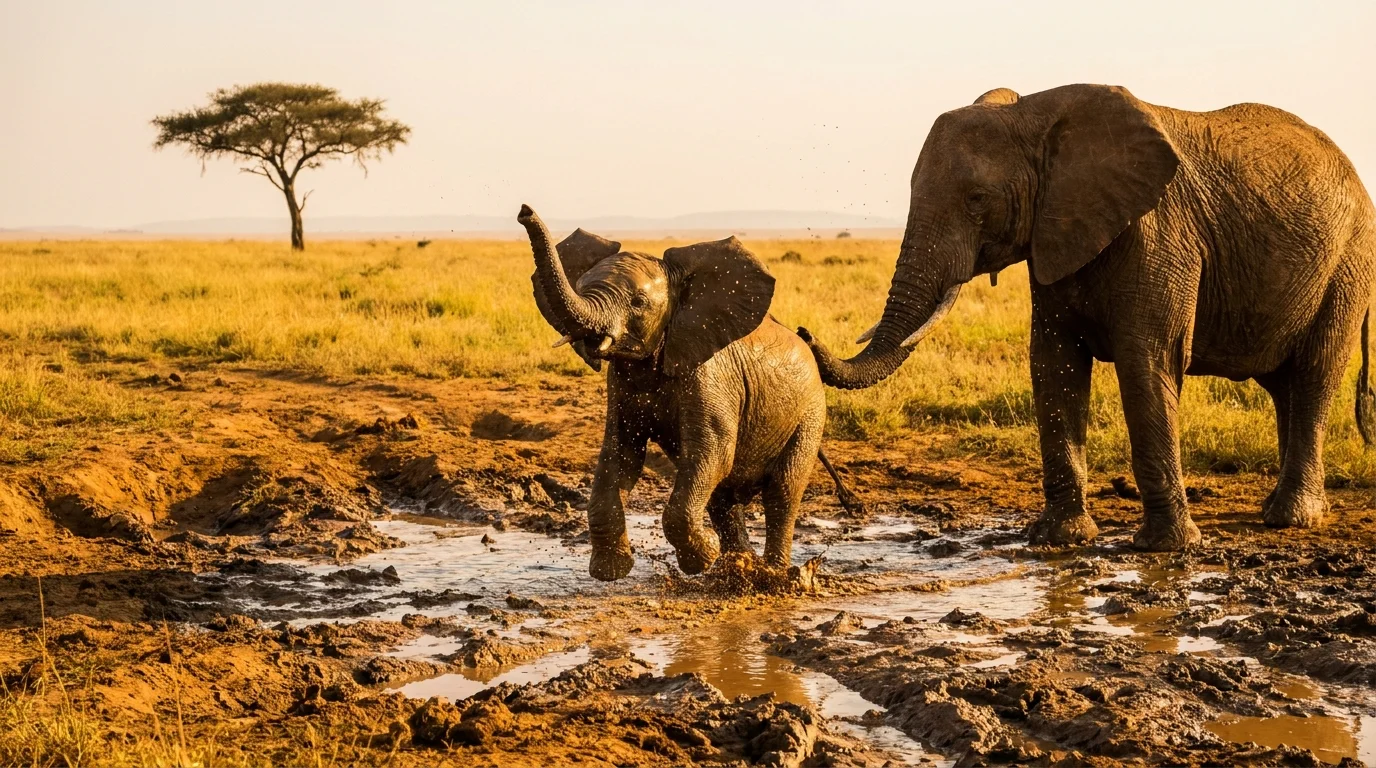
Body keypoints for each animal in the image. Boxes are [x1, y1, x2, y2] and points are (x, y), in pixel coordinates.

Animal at [517, 205, 861, 581]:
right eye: (579, 286)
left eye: (638, 302)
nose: (524, 210)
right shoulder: (621, 384)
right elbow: (620, 455)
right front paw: (612, 572)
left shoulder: (710, 375)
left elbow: (712, 451)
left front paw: (703, 557)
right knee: (722, 497)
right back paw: (736, 566)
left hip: (810, 413)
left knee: (782, 492)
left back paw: (771, 574)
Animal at [798, 84, 1376, 551]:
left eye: (978, 199)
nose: (803, 331)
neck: (1036, 115)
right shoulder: (1054, 234)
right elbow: (1052, 364)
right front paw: (1059, 538)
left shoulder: (1160, 233)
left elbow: (1147, 362)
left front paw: (1164, 549)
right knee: (1284, 387)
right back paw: (1278, 509)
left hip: (1349, 262)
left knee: (1314, 376)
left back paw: (1291, 518)